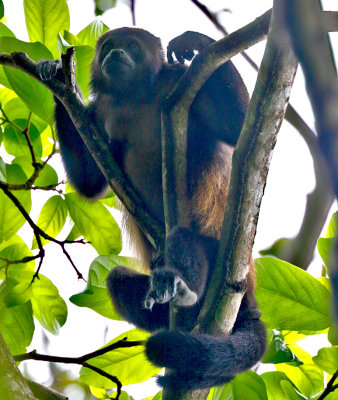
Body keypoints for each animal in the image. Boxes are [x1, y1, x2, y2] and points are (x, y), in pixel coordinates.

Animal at [38, 28, 266, 394]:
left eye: (130, 46)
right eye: (108, 45)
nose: (115, 53)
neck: (133, 96)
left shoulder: (178, 82)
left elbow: (239, 128)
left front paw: (195, 41)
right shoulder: (99, 113)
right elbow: (89, 184)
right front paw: (56, 74)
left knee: (186, 239)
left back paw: (182, 287)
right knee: (117, 280)